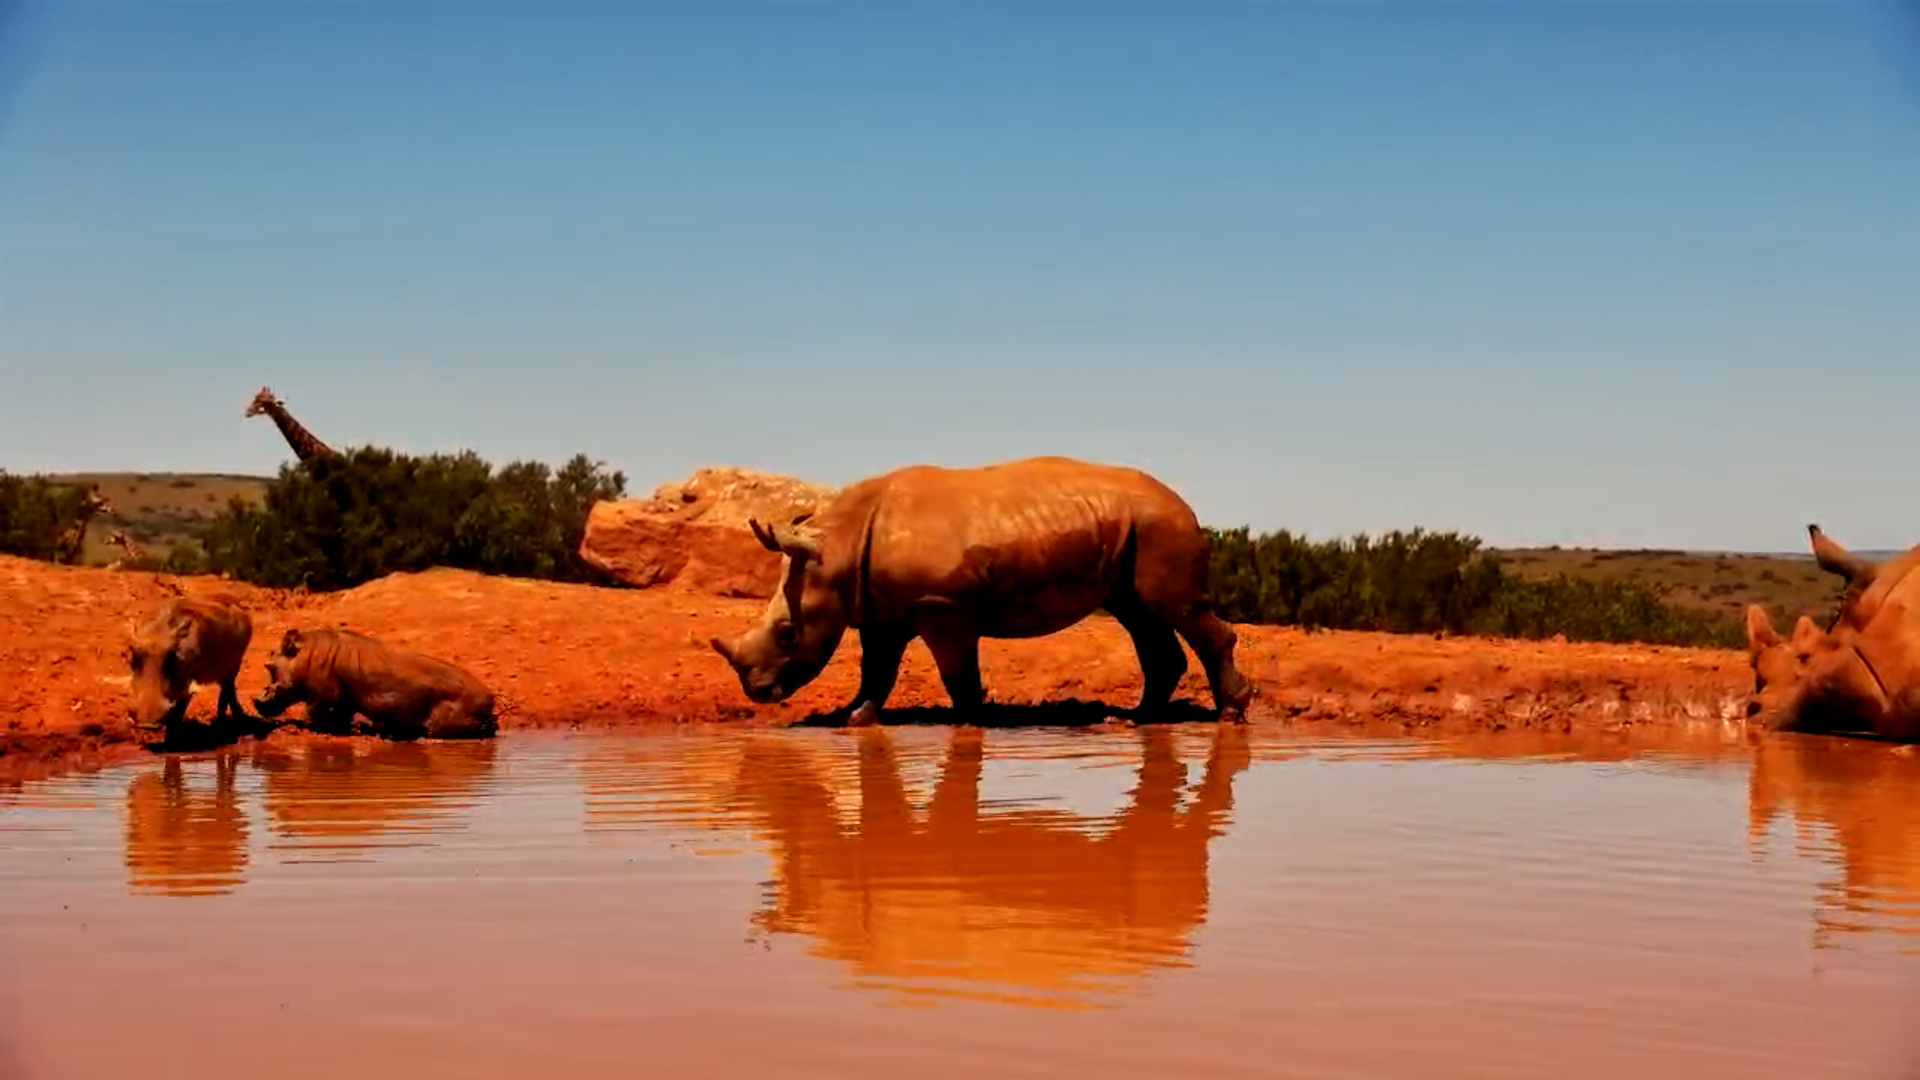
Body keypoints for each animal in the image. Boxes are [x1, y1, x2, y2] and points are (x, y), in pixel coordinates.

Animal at [126, 596, 254, 741]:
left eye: (171, 655)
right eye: (134, 655)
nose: (147, 725)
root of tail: (244, 614)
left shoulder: (186, 682)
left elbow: (178, 712)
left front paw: (172, 738)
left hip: (234, 665)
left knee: (226, 693)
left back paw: (221, 727)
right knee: (229, 691)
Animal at [253, 627, 498, 740]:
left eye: (269, 666)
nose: (257, 704)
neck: (303, 657)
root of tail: (490, 697)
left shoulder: (322, 697)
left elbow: (314, 716)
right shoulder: (343, 701)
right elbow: (340, 716)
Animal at [708, 455, 1256, 724]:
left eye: (787, 633)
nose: (757, 693)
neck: (836, 548)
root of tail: (1184, 502)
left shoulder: (942, 605)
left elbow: (955, 671)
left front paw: (972, 723)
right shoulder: (879, 609)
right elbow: (876, 670)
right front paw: (853, 718)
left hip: (1162, 525)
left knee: (1173, 609)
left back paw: (1230, 714)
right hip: (1138, 530)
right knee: (1140, 615)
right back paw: (1139, 719)